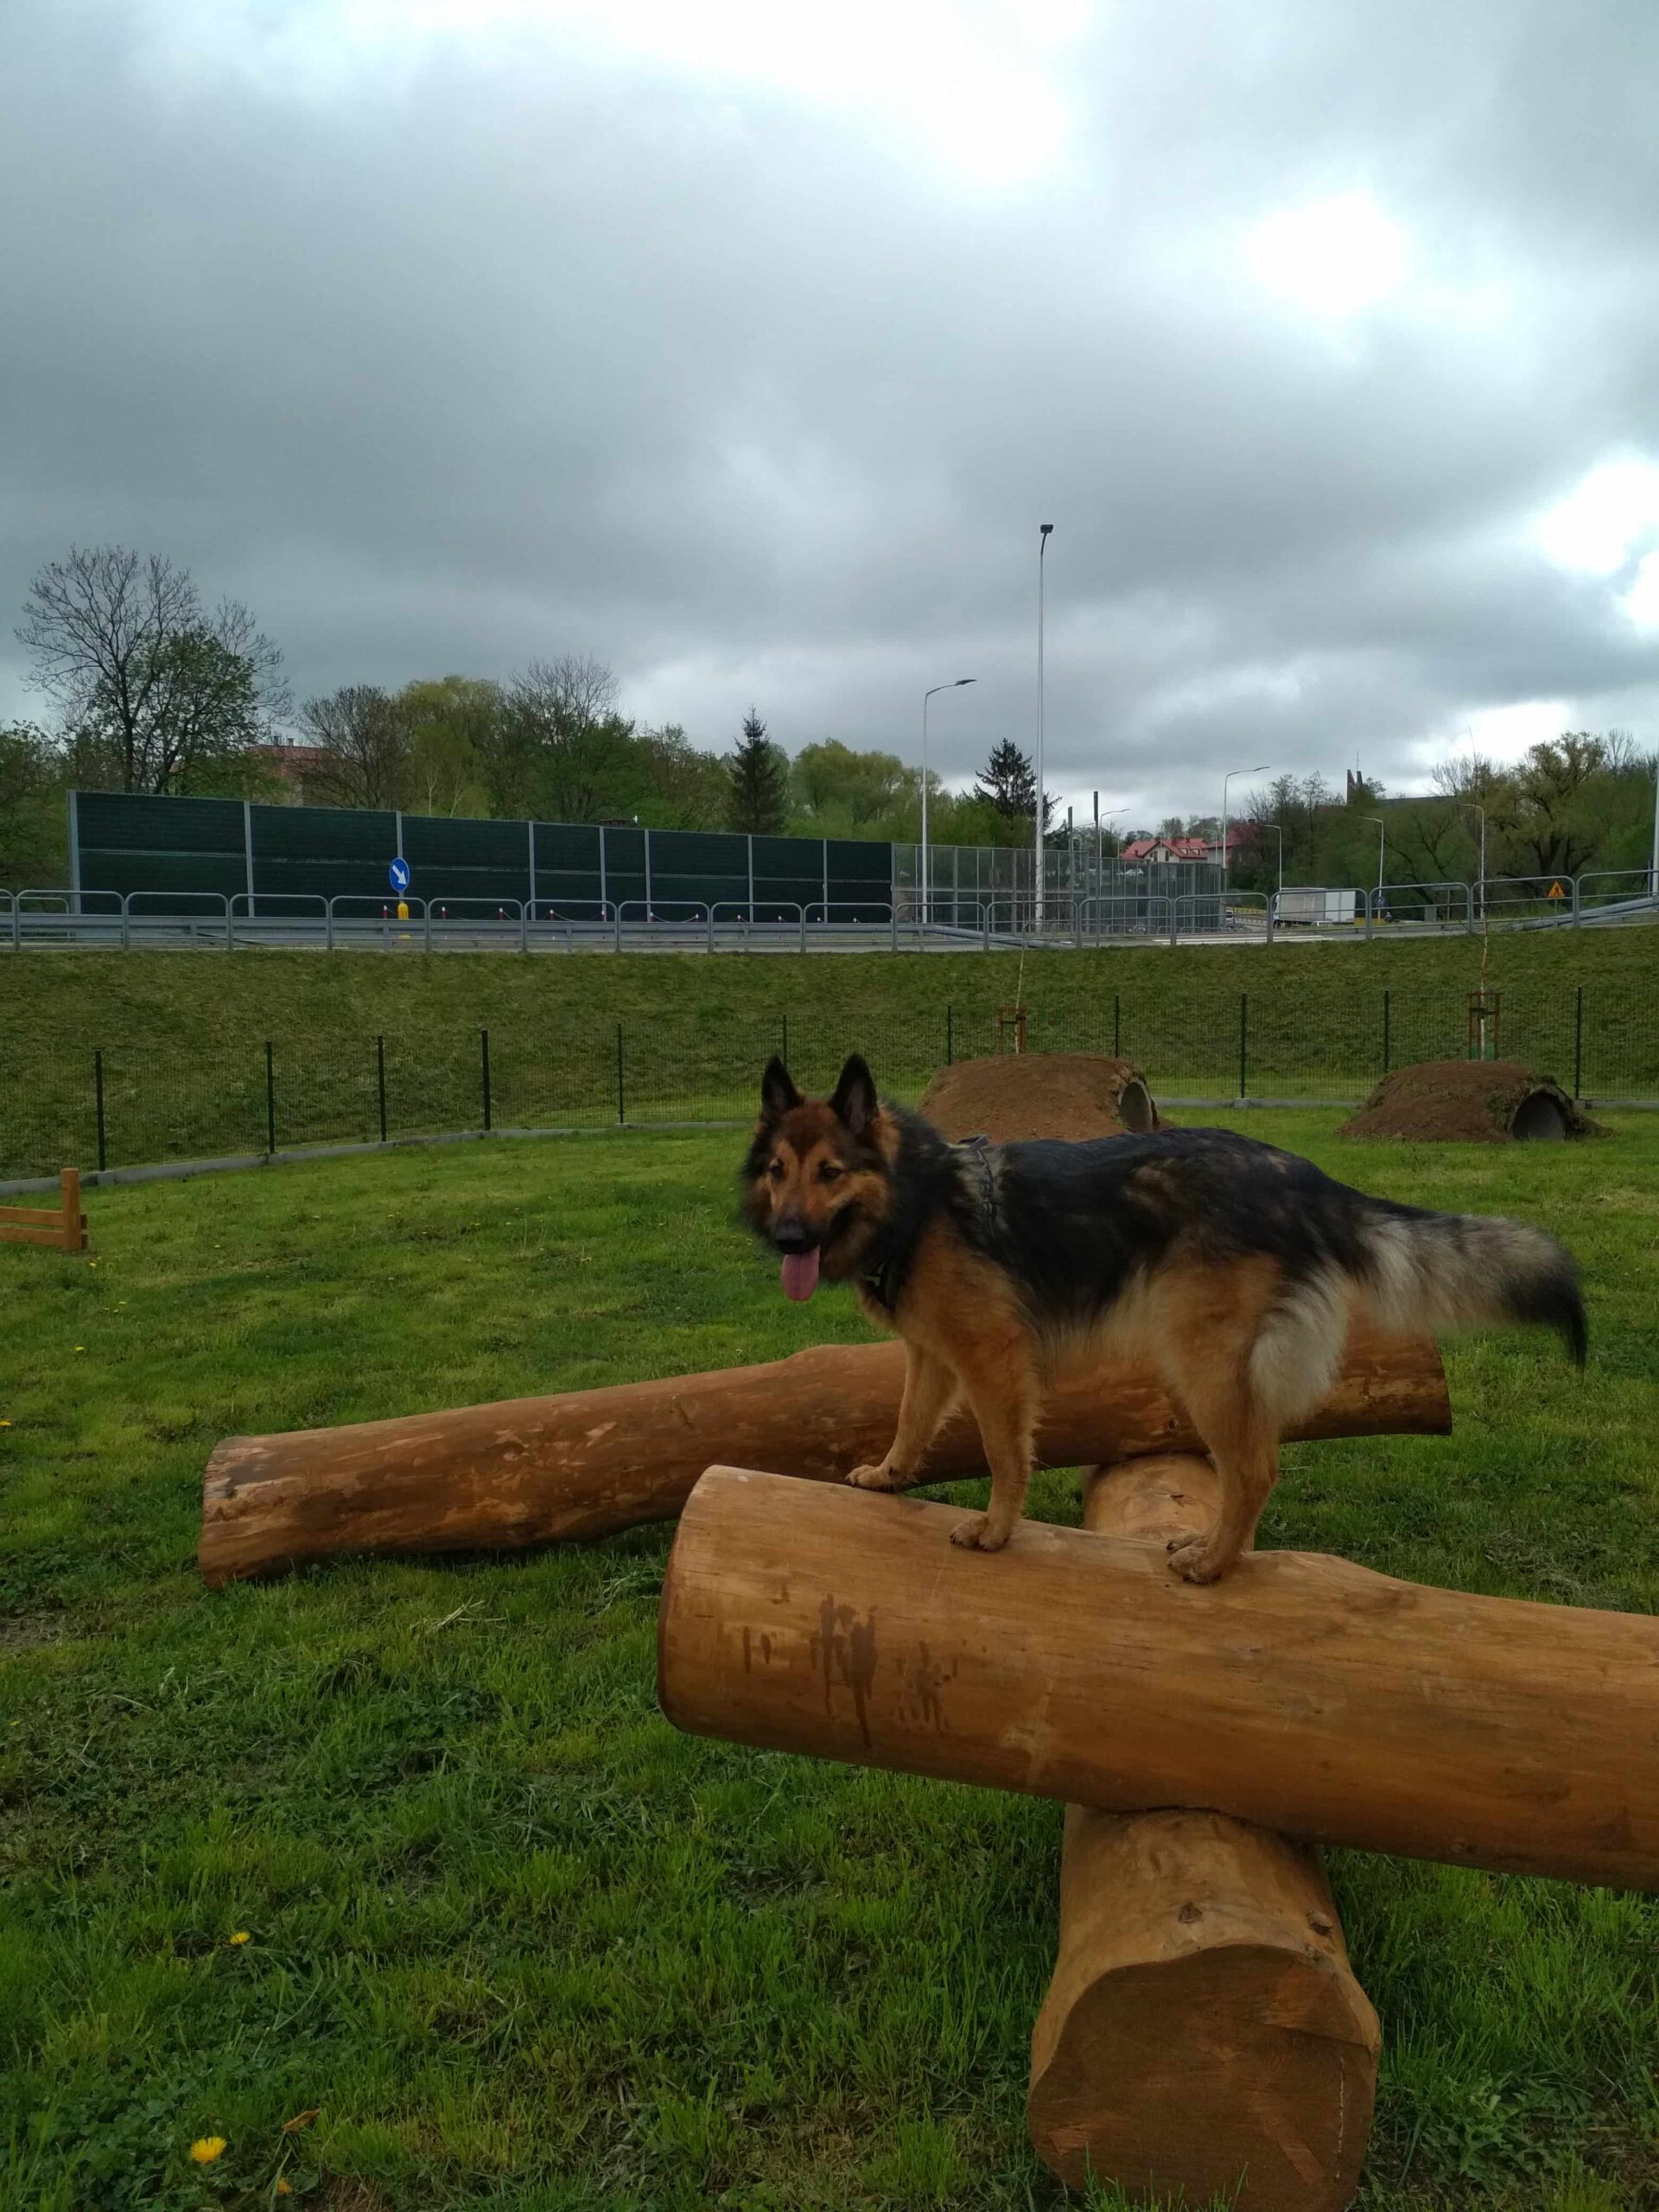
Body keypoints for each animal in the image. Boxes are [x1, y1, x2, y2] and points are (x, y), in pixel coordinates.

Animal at [747, 1048, 1592, 1574]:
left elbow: (1004, 1454)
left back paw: (1214, 1564)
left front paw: (997, 1529)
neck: (916, 1201)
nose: (786, 1237)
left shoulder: (994, 1362)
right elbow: (910, 1420)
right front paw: (890, 1476)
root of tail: (1304, 1177)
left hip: (1203, 1366)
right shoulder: (933, 1356)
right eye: (779, 1171)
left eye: (830, 1173)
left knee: (1254, 1468)